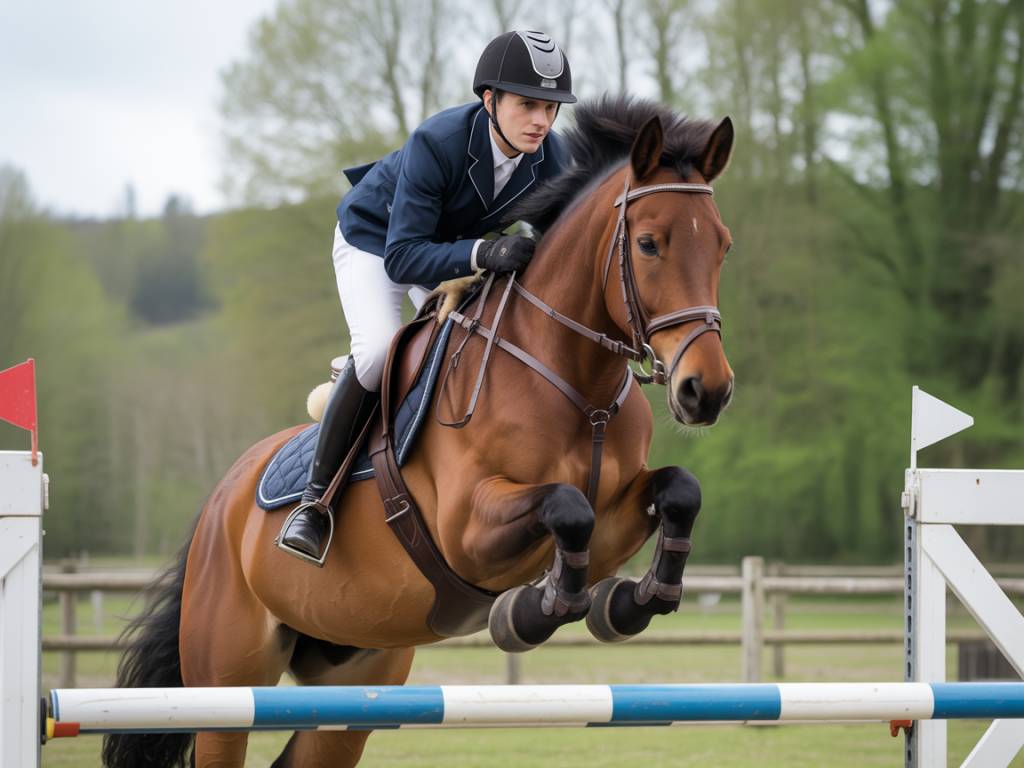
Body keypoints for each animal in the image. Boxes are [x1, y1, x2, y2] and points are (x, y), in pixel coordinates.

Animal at [103, 96, 735, 768]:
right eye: (648, 244)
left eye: (723, 246)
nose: (706, 390)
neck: (574, 381)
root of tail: (222, 498)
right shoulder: (466, 529)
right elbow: (568, 508)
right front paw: (527, 613)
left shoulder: (615, 517)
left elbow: (679, 490)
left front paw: (630, 603)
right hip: (226, 685)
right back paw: (307, 527)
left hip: (352, 683)